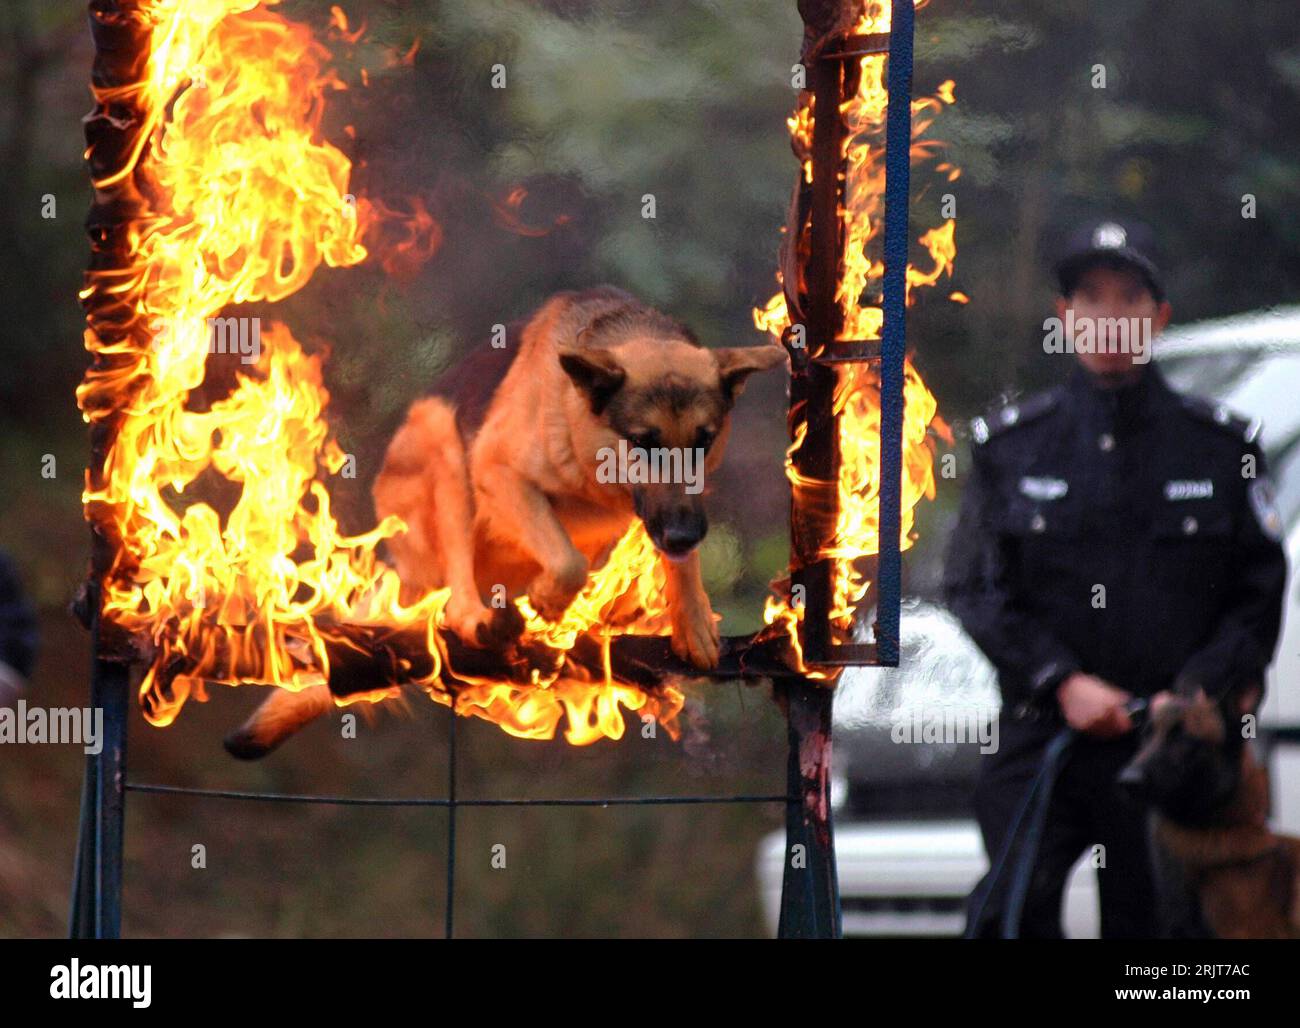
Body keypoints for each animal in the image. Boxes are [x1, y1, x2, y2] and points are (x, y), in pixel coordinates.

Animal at [226, 287, 780, 753]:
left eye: (704, 441)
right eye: (643, 442)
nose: (685, 534)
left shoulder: (669, 509)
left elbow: (670, 560)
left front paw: (692, 618)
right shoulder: (500, 474)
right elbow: (566, 561)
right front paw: (551, 598)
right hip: (443, 446)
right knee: (456, 597)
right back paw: (483, 618)